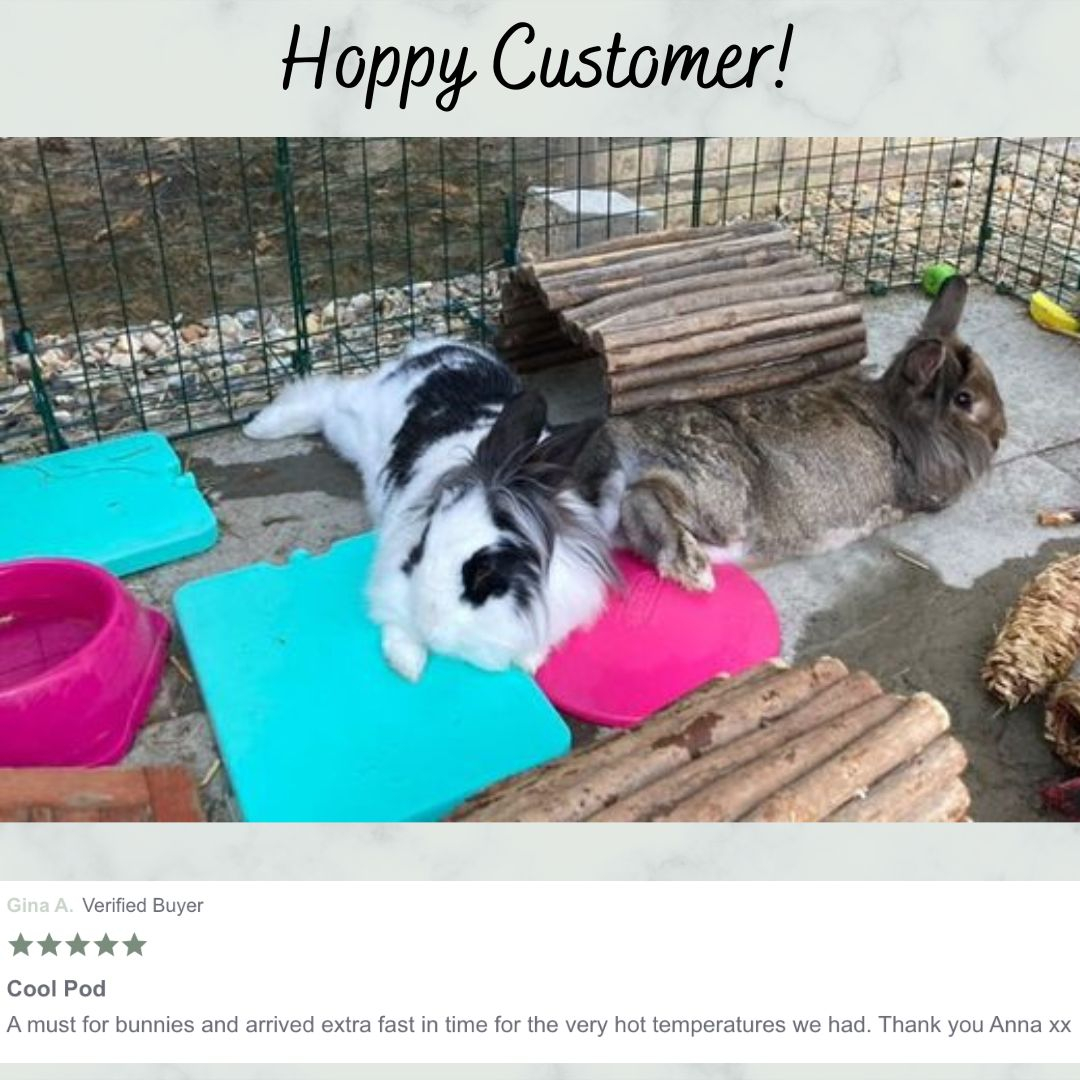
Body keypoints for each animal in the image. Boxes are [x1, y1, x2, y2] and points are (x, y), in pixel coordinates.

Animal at [243, 338, 621, 682]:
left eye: (485, 572)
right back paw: (260, 427)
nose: (429, 626)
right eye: (419, 548)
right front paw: (407, 663)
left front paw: (529, 660)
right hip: (350, 423)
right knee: (329, 396)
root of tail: (435, 348)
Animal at [598, 275, 1007, 592]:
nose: (1000, 435)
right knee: (644, 498)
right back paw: (694, 569)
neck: (901, 416)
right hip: (717, 493)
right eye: (964, 399)